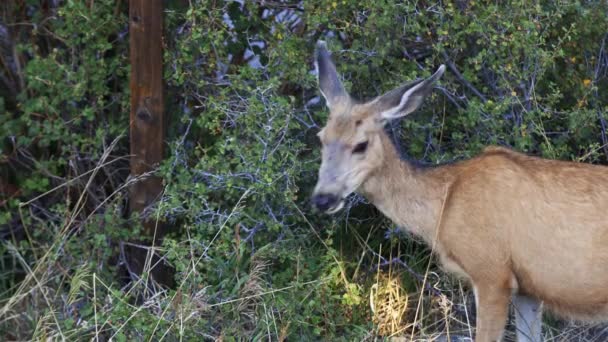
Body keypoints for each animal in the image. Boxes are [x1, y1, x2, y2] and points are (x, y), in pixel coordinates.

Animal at [312, 40, 608, 342]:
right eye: (321, 138)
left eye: (361, 145)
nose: (322, 198)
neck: (443, 205)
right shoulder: (528, 289)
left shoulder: (492, 273)